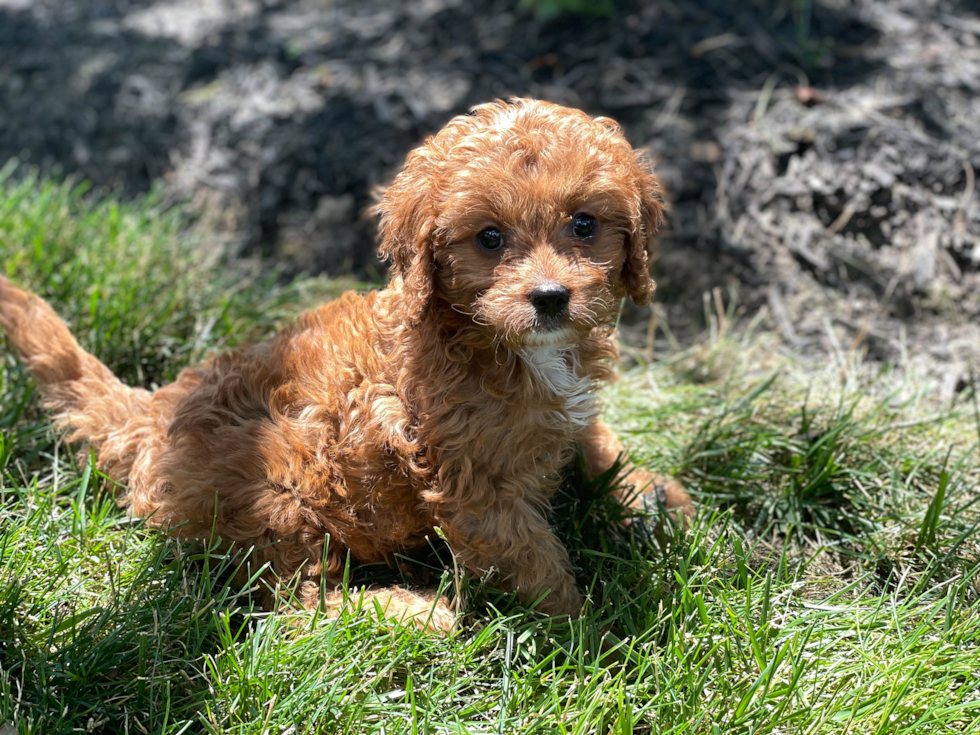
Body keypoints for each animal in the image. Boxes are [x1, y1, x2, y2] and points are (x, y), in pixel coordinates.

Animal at [0, 99, 688, 632]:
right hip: (282, 486)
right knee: (296, 606)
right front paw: (593, 637)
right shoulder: (473, 487)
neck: (495, 340)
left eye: (585, 224)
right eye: (489, 238)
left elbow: (597, 442)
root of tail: (150, 417)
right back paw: (414, 615)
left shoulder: (568, 412)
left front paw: (658, 500)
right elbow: (533, 557)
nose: (550, 298)